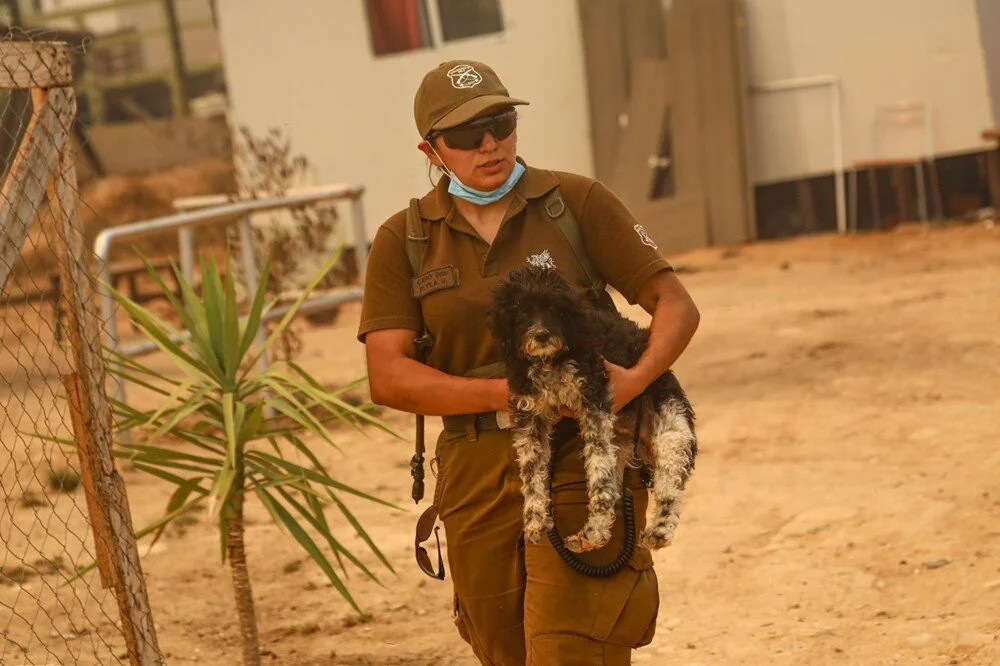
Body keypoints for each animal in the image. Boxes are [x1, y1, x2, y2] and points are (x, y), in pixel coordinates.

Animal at [488, 262, 700, 552]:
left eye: (554, 308)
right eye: (521, 311)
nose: (542, 335)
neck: (550, 360)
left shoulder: (593, 398)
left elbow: (597, 463)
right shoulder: (530, 414)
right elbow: (531, 471)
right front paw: (534, 519)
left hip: (671, 431)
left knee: (668, 485)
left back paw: (657, 530)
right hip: (620, 448)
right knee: (613, 489)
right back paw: (591, 535)